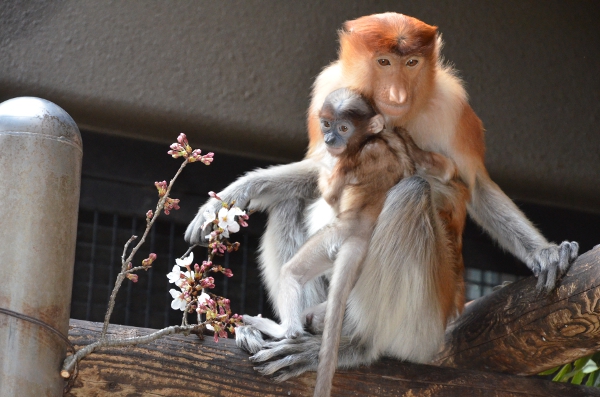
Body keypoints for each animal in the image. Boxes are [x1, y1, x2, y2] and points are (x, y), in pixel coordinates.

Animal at [276, 87, 454, 396]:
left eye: (343, 128)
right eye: (326, 124)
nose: (330, 139)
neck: (370, 140)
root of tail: (359, 231)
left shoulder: (349, 161)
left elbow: (331, 192)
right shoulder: (394, 142)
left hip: (333, 238)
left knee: (292, 273)